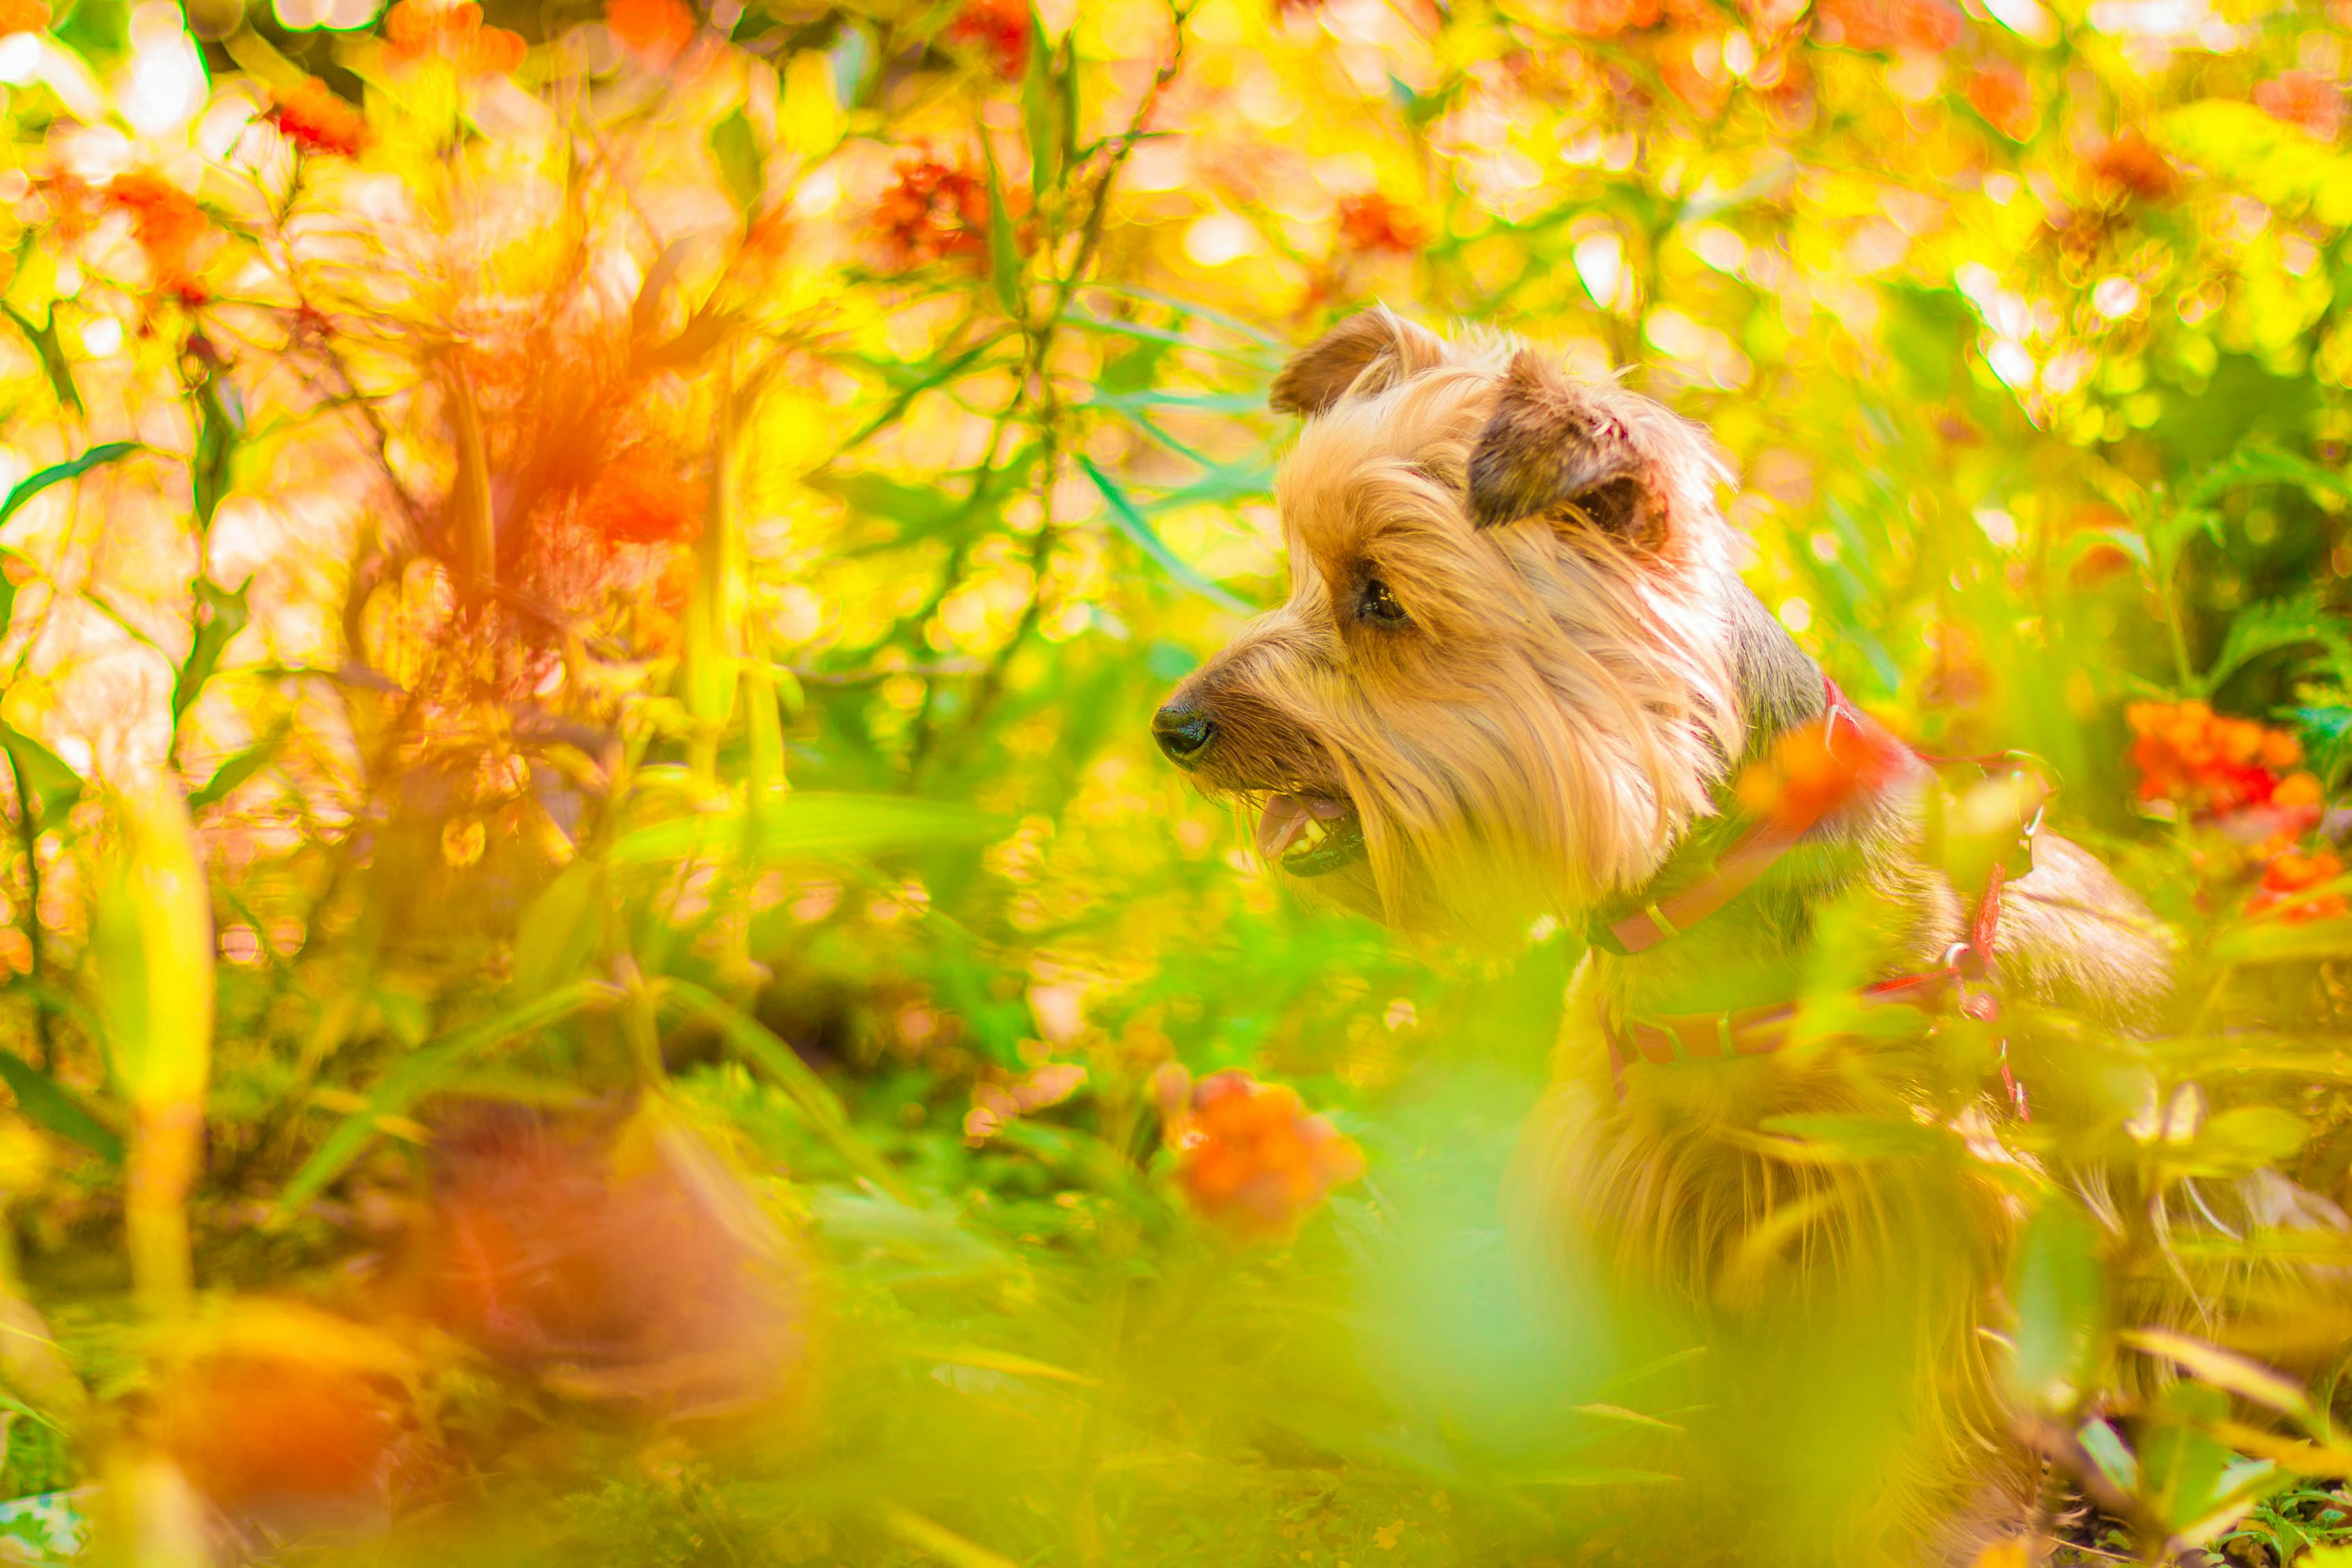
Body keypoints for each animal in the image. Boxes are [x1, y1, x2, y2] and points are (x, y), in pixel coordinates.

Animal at [1157, 310, 2183, 1568]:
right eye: (1305, 572)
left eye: (1382, 598)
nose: (1173, 726)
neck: (1703, 899)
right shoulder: (1619, 1182)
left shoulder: (1934, 1223)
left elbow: (1914, 1433)